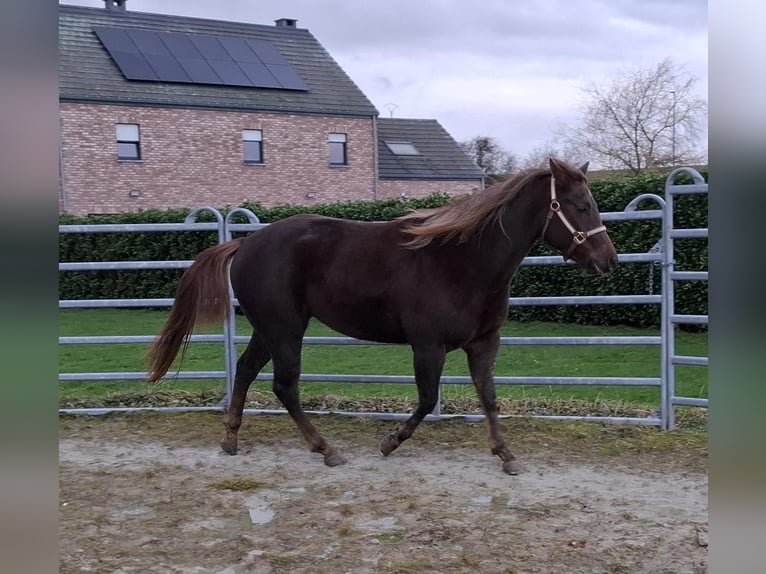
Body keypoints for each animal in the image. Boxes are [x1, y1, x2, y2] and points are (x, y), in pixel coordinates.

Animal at [148, 159, 616, 476]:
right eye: (580, 205)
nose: (608, 260)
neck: (463, 260)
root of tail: (245, 244)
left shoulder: (484, 342)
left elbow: (489, 397)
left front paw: (506, 456)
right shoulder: (428, 347)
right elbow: (427, 400)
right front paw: (390, 443)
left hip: (268, 329)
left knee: (246, 372)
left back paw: (231, 438)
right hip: (285, 330)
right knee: (285, 386)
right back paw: (326, 449)